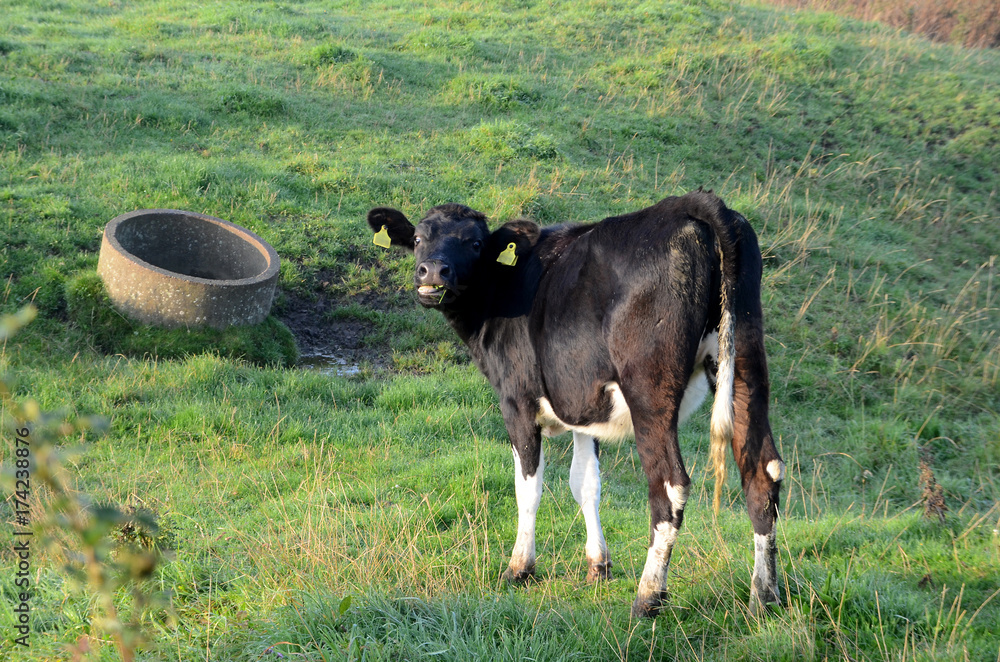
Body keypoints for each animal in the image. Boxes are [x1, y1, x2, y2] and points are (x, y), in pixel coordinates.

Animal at [367, 190, 784, 617]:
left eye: (475, 243)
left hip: (649, 389)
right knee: (762, 473)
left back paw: (647, 597)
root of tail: (690, 203)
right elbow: (585, 482)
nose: (433, 271)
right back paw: (764, 597)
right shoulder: (583, 403)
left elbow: (528, 486)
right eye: (418, 238)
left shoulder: (517, 401)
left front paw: (520, 567)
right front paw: (598, 565)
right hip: (746, 358)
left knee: (670, 487)